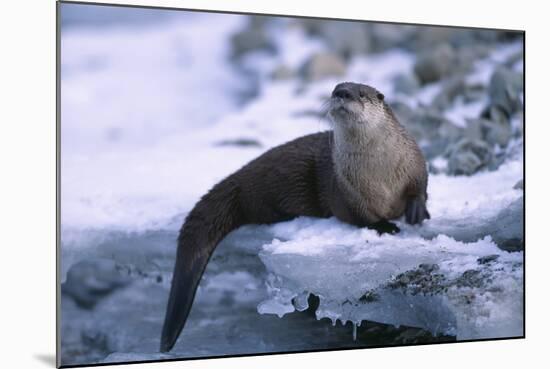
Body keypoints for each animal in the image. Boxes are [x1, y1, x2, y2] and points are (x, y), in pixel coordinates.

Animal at [160, 80, 432, 350]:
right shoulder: (345, 191)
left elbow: (420, 186)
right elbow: (360, 217)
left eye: (362, 93)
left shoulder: (414, 160)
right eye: (336, 89)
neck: (380, 175)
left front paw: (418, 211)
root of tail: (239, 178)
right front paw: (385, 226)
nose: (342, 93)